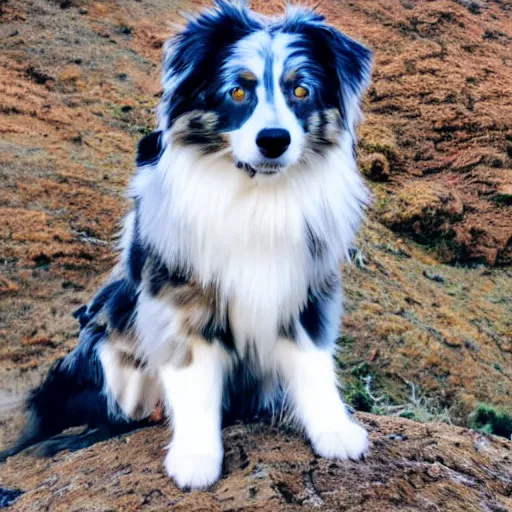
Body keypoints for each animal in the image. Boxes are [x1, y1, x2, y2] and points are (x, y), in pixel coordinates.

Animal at [0, 0, 372, 488]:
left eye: (300, 90)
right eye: (238, 92)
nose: (274, 141)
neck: (256, 197)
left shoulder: (308, 286)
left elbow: (313, 364)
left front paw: (334, 429)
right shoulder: (178, 297)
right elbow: (194, 380)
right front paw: (196, 458)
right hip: (108, 339)